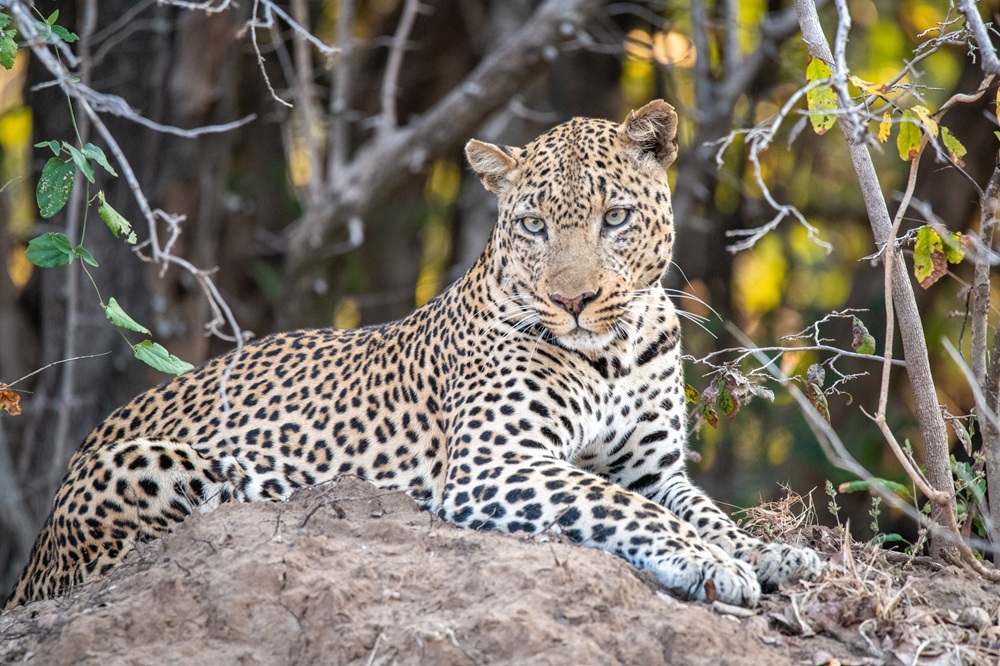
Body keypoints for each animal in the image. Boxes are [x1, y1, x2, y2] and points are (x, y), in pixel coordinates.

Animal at [5, 100, 822, 610]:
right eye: (533, 226)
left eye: (614, 218)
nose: (573, 300)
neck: (614, 354)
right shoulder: (497, 462)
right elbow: (622, 507)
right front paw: (714, 564)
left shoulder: (654, 468)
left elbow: (702, 510)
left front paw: (766, 552)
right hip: (152, 464)